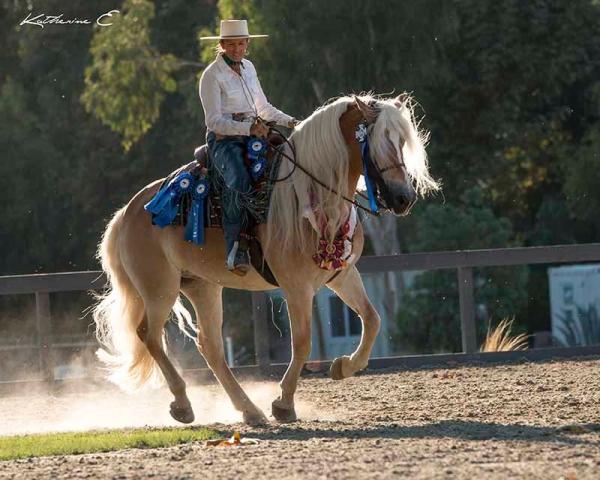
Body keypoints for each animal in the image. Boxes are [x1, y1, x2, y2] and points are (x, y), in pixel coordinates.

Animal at [95, 93, 440, 424]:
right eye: (380, 141)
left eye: (401, 142)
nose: (404, 198)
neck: (309, 196)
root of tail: (128, 211)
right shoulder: (297, 288)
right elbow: (302, 343)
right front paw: (284, 403)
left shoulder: (342, 274)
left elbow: (372, 319)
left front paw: (343, 367)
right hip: (159, 289)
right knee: (150, 336)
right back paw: (183, 404)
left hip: (202, 287)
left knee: (210, 347)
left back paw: (249, 410)